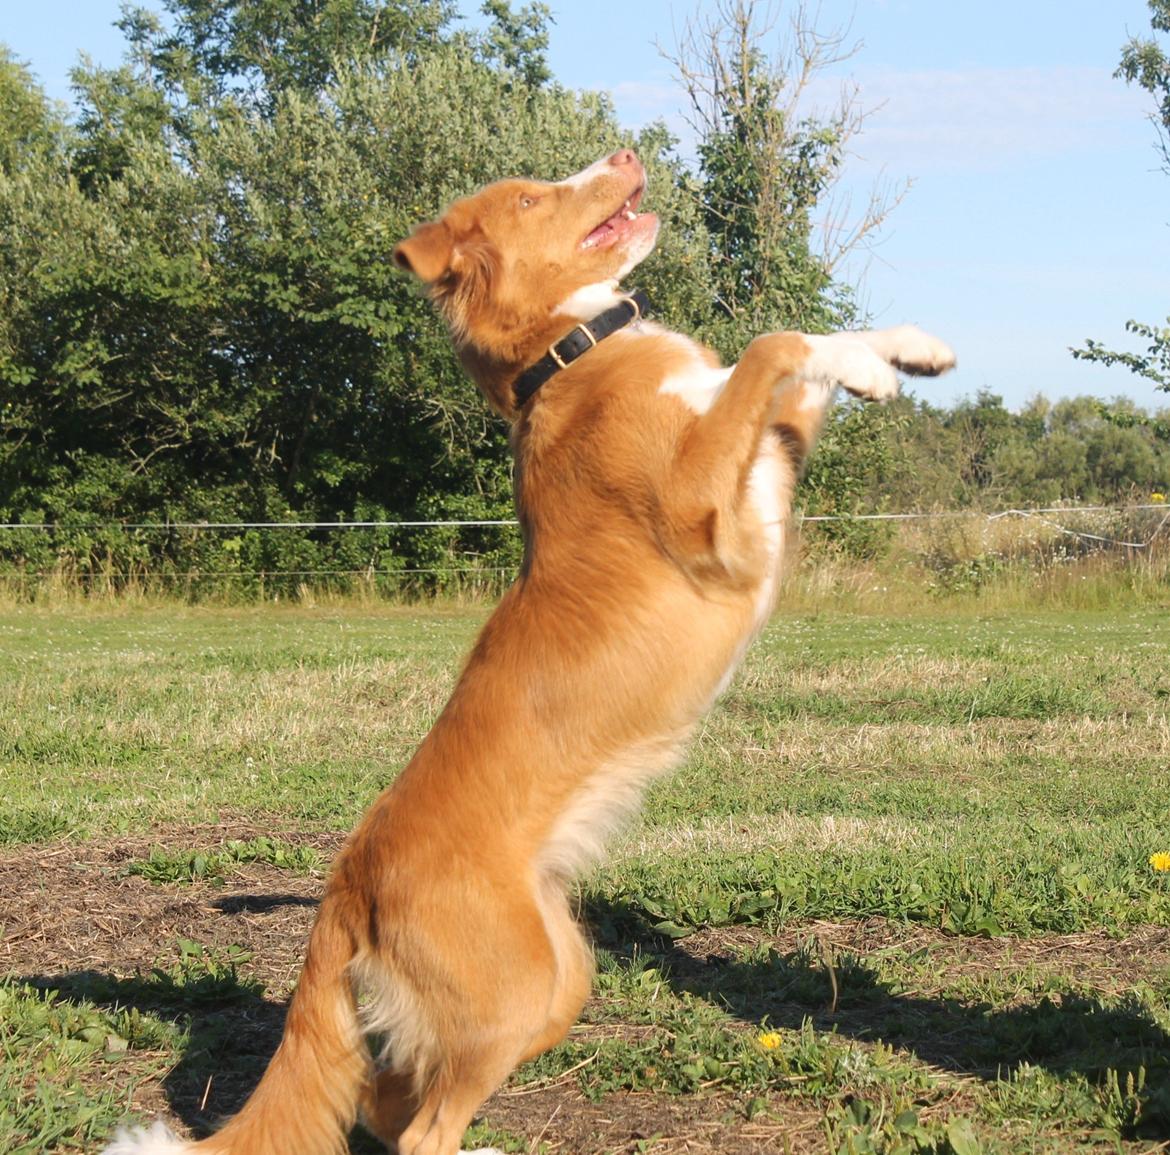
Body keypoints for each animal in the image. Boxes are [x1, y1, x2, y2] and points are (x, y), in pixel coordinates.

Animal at [105, 149, 954, 1151]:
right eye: (527, 196)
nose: (623, 154)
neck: (571, 353)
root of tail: (346, 882)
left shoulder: (770, 462)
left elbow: (805, 353)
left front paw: (898, 350)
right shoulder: (707, 517)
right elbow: (772, 341)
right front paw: (872, 361)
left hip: (559, 981)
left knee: (387, 1102)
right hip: (509, 994)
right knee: (421, 1127)